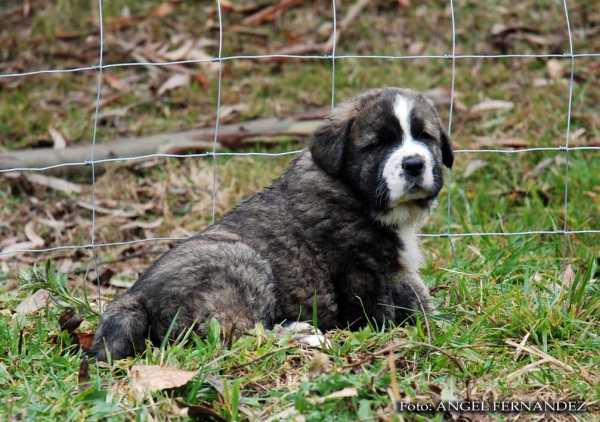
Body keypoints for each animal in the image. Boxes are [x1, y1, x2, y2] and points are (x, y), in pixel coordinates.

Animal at [91, 87, 452, 362]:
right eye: (378, 144)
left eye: (426, 137)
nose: (414, 164)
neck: (354, 191)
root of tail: (134, 295)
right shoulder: (360, 271)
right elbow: (377, 311)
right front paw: (394, 335)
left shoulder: (394, 269)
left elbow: (416, 294)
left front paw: (437, 322)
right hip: (240, 264)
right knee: (235, 335)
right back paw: (304, 336)